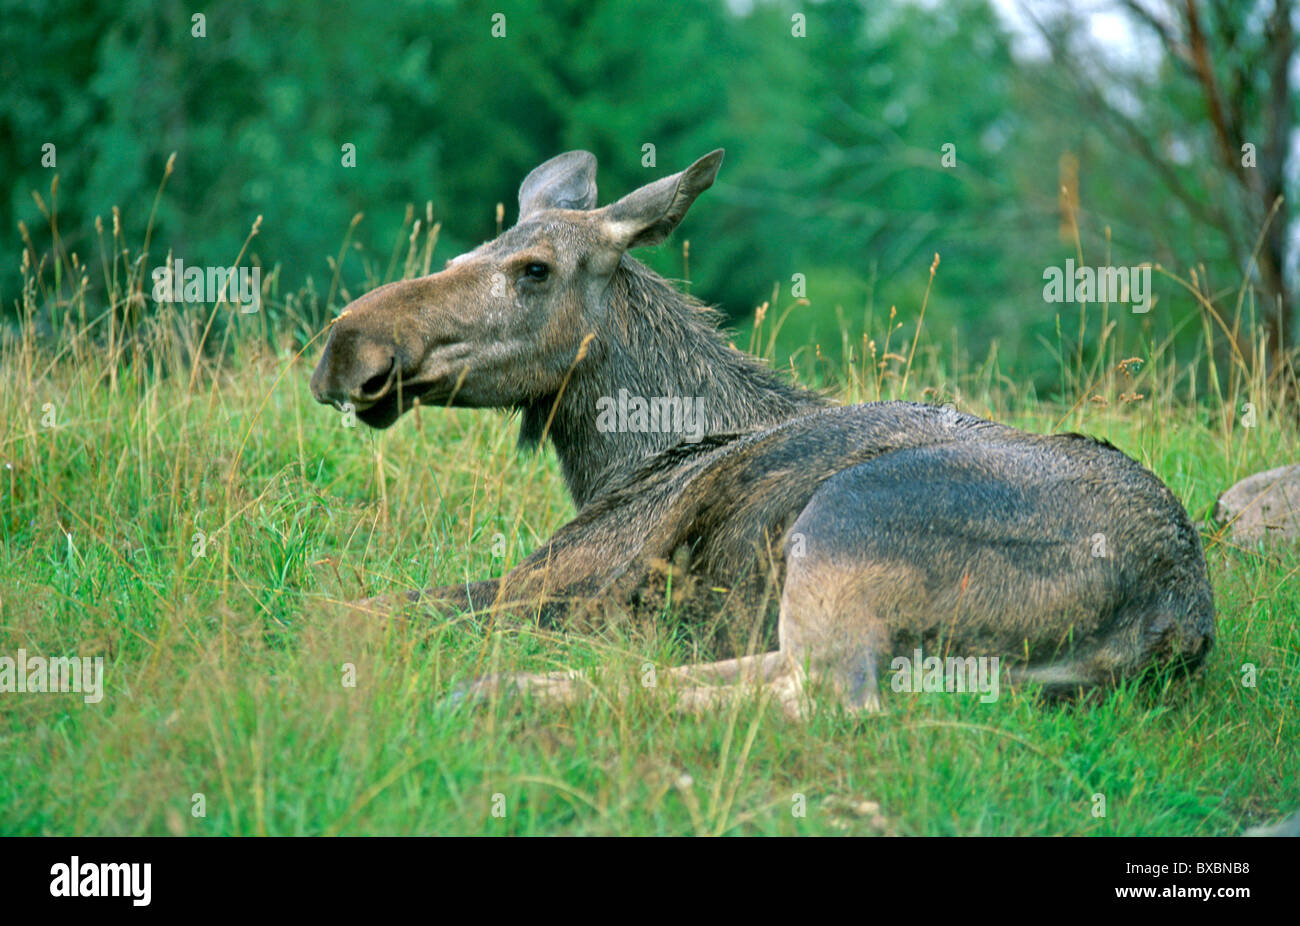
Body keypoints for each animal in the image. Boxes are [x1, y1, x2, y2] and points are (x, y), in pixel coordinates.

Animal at [309, 149, 1215, 717]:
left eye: (533, 269)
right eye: (462, 250)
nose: (347, 347)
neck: (623, 458)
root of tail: (1173, 619)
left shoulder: (560, 579)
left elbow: (359, 608)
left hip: (848, 521)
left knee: (831, 697)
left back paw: (503, 693)